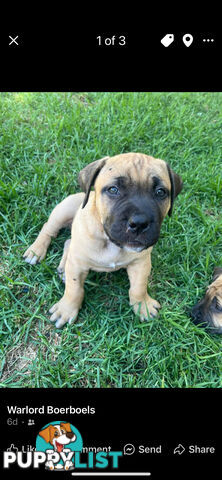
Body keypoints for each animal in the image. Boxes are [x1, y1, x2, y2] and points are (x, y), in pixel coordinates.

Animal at [23, 152, 182, 328]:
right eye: (113, 190)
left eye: (161, 192)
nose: (139, 223)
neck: (111, 242)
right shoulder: (78, 265)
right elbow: (74, 288)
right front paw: (67, 309)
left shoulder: (141, 262)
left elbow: (139, 287)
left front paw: (143, 305)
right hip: (64, 210)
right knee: (49, 230)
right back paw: (36, 251)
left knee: (68, 243)